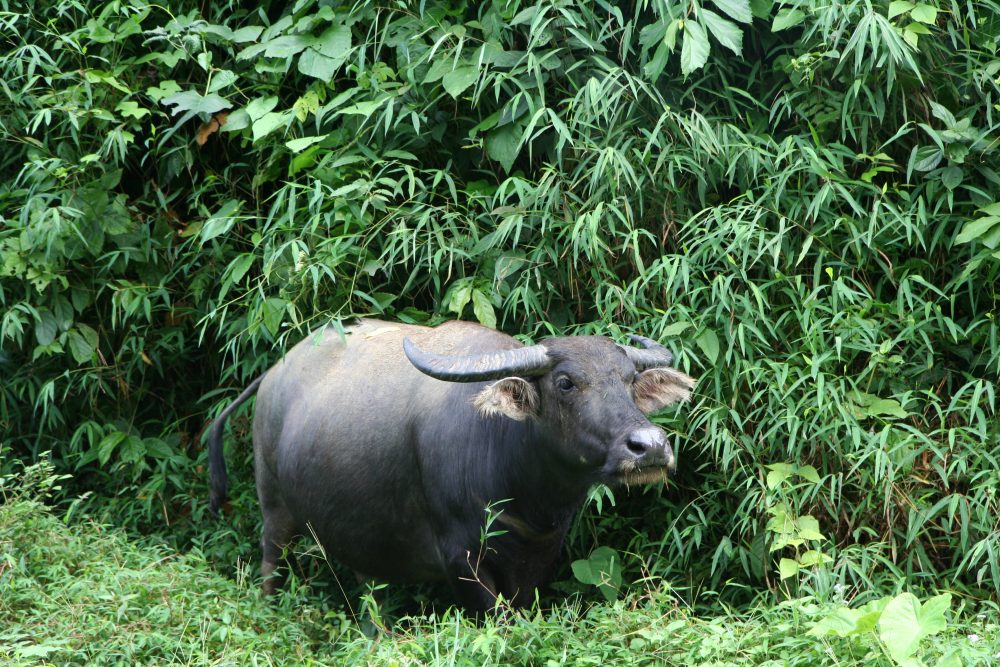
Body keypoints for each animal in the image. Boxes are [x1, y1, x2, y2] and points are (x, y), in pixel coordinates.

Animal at [209, 320, 696, 612]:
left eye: (629, 381)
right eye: (565, 382)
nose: (650, 446)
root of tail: (274, 374)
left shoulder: (539, 557)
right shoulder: (460, 559)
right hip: (274, 507)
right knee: (271, 562)